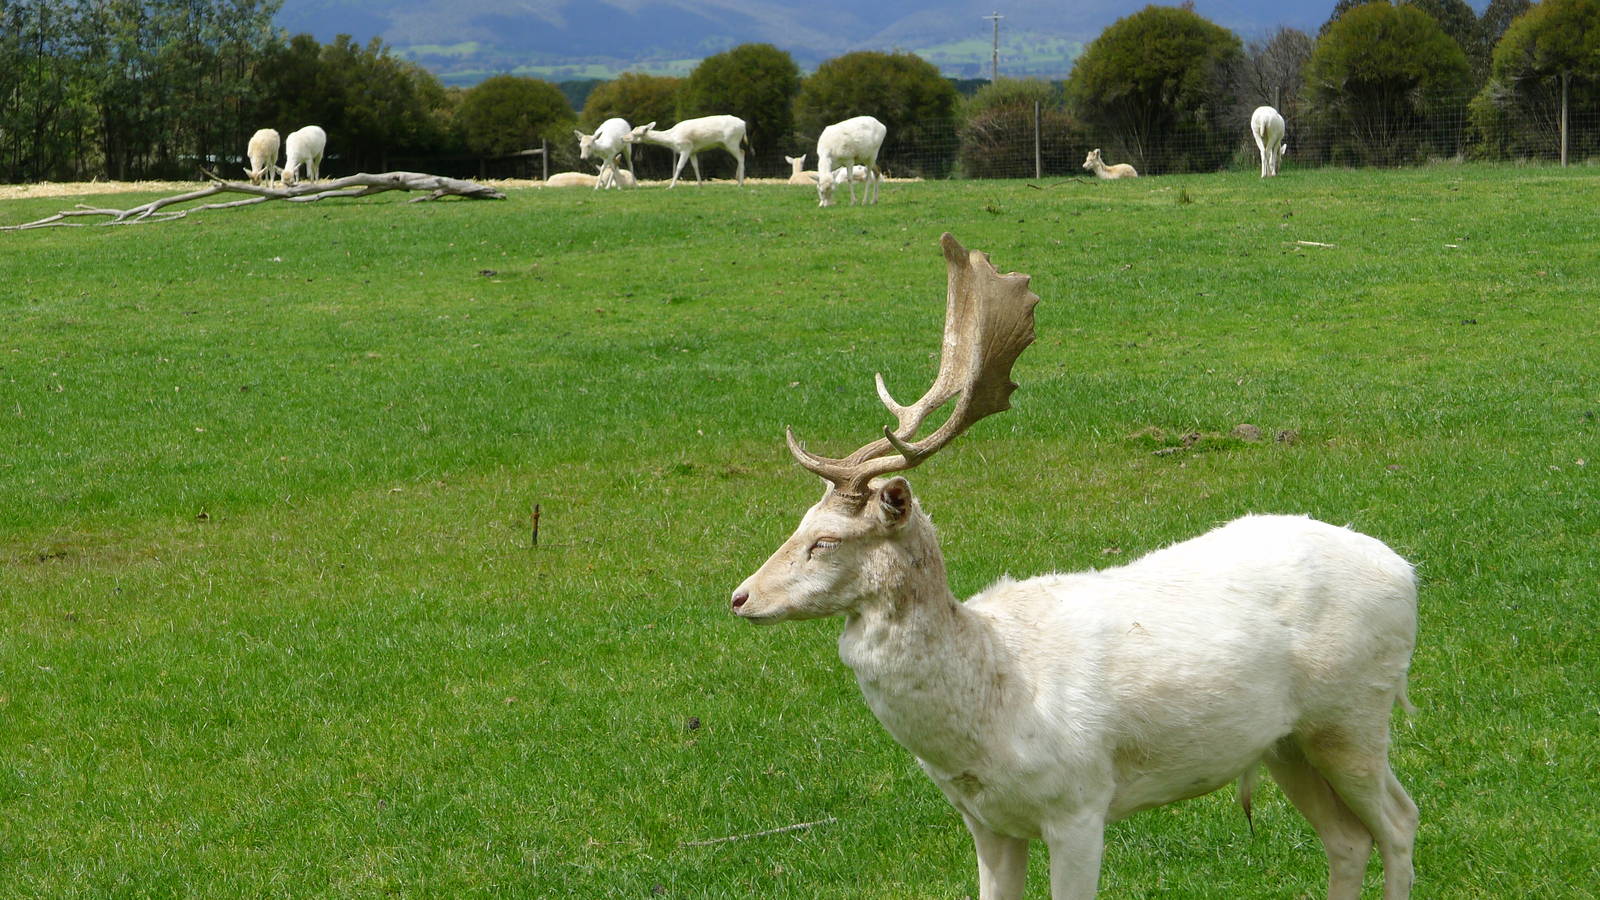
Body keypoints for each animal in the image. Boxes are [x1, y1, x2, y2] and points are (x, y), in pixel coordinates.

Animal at [730, 233, 1419, 900]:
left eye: (825, 540)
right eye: (798, 523)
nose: (740, 597)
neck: (994, 704)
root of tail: (1407, 571)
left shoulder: (1080, 803)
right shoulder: (985, 820)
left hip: (1353, 714)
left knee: (1400, 819)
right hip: (1285, 741)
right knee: (1347, 839)